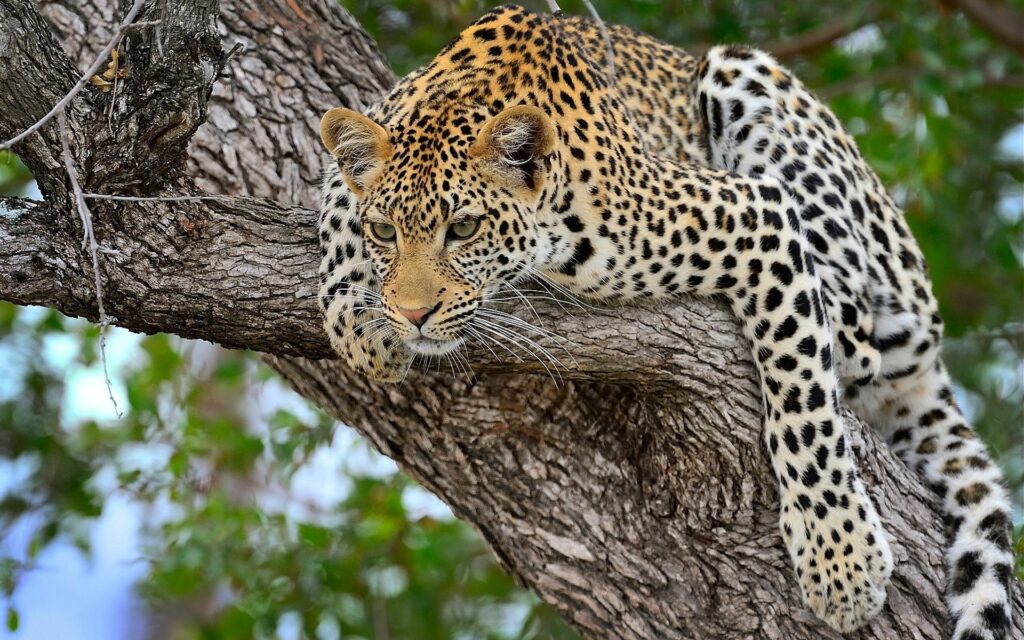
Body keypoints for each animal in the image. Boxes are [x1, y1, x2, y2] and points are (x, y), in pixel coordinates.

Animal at [316, 5, 1014, 638]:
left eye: (463, 229)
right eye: (386, 232)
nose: (413, 315)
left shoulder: (756, 216)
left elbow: (804, 403)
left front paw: (839, 559)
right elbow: (334, 202)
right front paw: (358, 318)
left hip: (751, 83)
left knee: (857, 334)